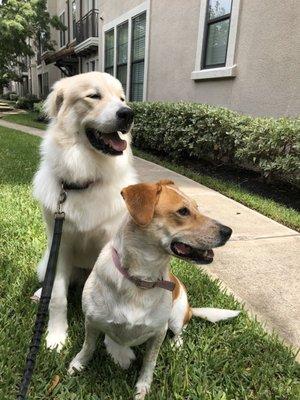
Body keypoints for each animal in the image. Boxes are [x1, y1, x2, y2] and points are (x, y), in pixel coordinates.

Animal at [32, 72, 137, 350]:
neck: (85, 179)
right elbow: (58, 296)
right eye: (94, 96)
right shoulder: (61, 246)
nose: (128, 114)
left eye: (122, 98)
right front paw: (56, 336)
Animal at [68, 180, 239, 396]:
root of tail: (190, 309)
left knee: (181, 330)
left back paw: (176, 344)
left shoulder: (158, 332)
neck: (141, 279)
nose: (228, 231)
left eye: (197, 207)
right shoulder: (91, 321)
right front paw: (78, 364)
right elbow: (88, 347)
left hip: (176, 317)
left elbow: (150, 362)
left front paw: (143, 386)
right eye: (183, 211)